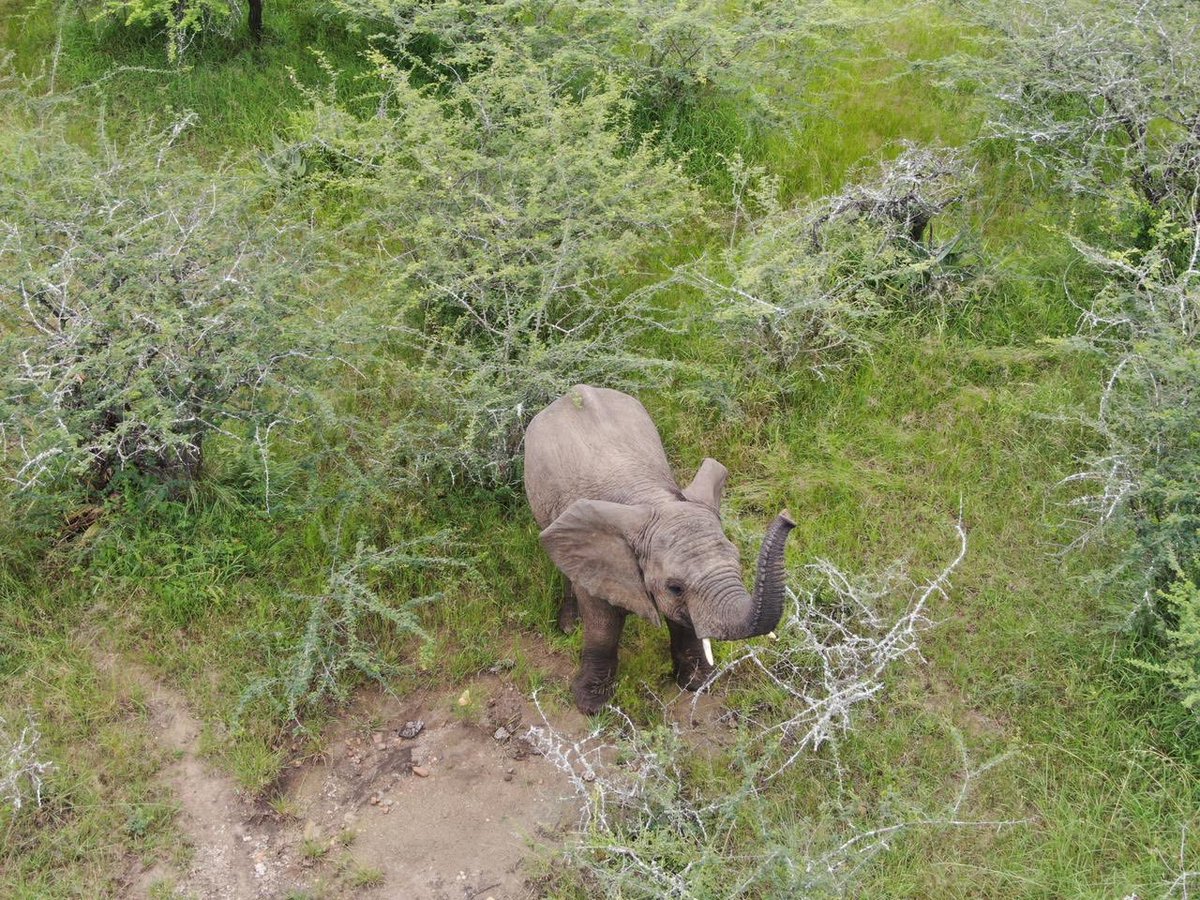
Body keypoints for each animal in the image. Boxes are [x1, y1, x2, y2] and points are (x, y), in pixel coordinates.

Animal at [520, 384, 792, 715]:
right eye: (674, 587)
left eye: (738, 563)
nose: (788, 517)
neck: (651, 498)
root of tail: (576, 390)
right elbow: (603, 623)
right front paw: (592, 706)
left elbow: (683, 621)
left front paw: (697, 683)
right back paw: (570, 626)